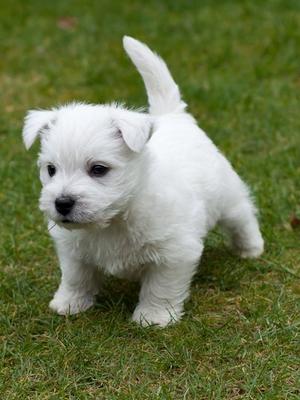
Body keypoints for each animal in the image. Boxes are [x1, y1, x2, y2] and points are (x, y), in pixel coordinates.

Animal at [22, 36, 264, 326]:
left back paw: (250, 248)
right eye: (51, 169)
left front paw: (153, 317)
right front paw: (69, 304)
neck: (115, 220)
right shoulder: (73, 251)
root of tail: (174, 117)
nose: (62, 203)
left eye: (98, 169)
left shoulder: (174, 254)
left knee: (243, 216)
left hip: (227, 198)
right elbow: (75, 278)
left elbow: (161, 288)